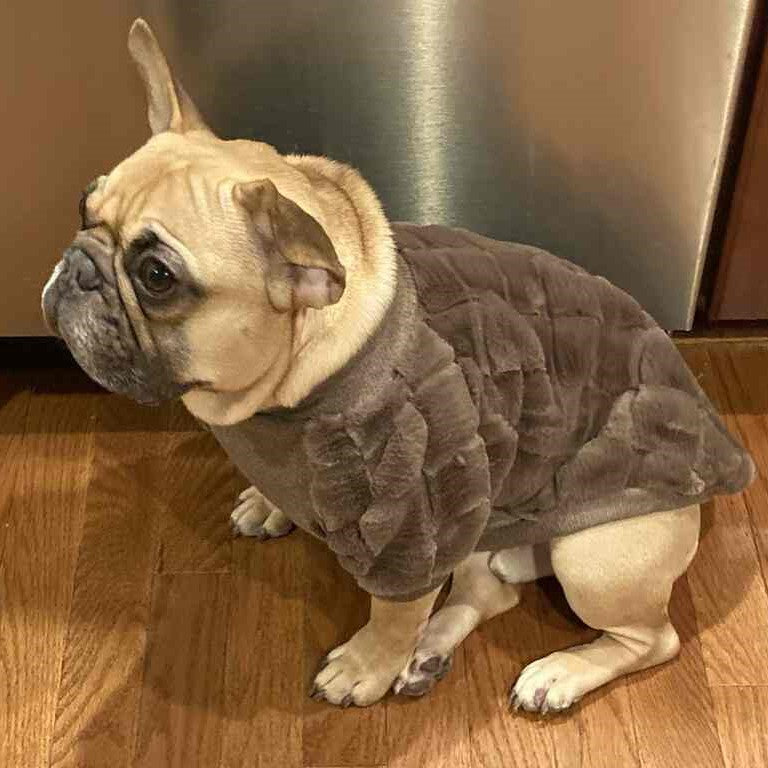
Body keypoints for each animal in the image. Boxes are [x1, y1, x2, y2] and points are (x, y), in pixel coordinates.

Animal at [42, 19, 753, 713]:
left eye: (156, 276)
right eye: (82, 205)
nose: (76, 269)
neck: (283, 392)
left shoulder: (412, 518)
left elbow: (394, 608)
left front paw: (367, 666)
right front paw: (271, 505)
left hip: (595, 560)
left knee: (651, 639)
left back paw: (555, 673)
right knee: (492, 591)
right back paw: (430, 653)